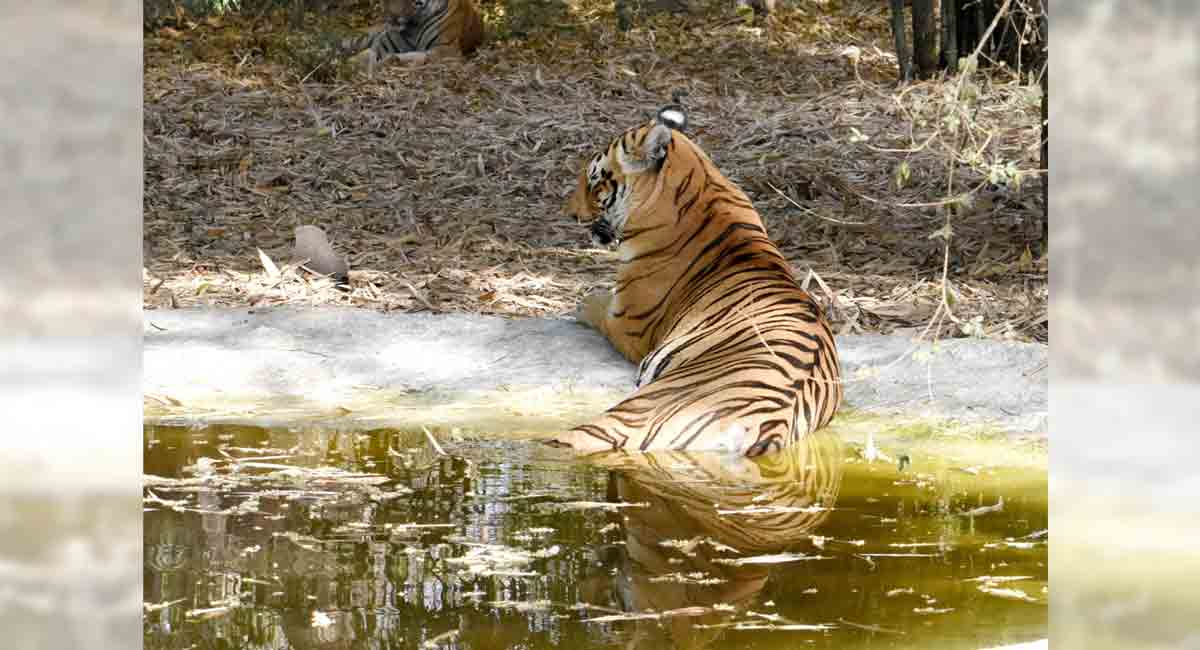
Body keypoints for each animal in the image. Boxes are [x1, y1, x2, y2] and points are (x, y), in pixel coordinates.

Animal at [340, 0, 484, 76]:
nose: (391, 18)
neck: (415, 26)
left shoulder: (448, 50)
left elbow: (423, 56)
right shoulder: (383, 45)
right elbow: (364, 56)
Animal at [547, 104, 843, 456]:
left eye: (594, 182)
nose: (570, 213)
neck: (704, 185)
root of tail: (769, 421)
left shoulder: (626, 324)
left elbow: (595, 304)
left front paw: (579, 304)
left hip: (622, 418)